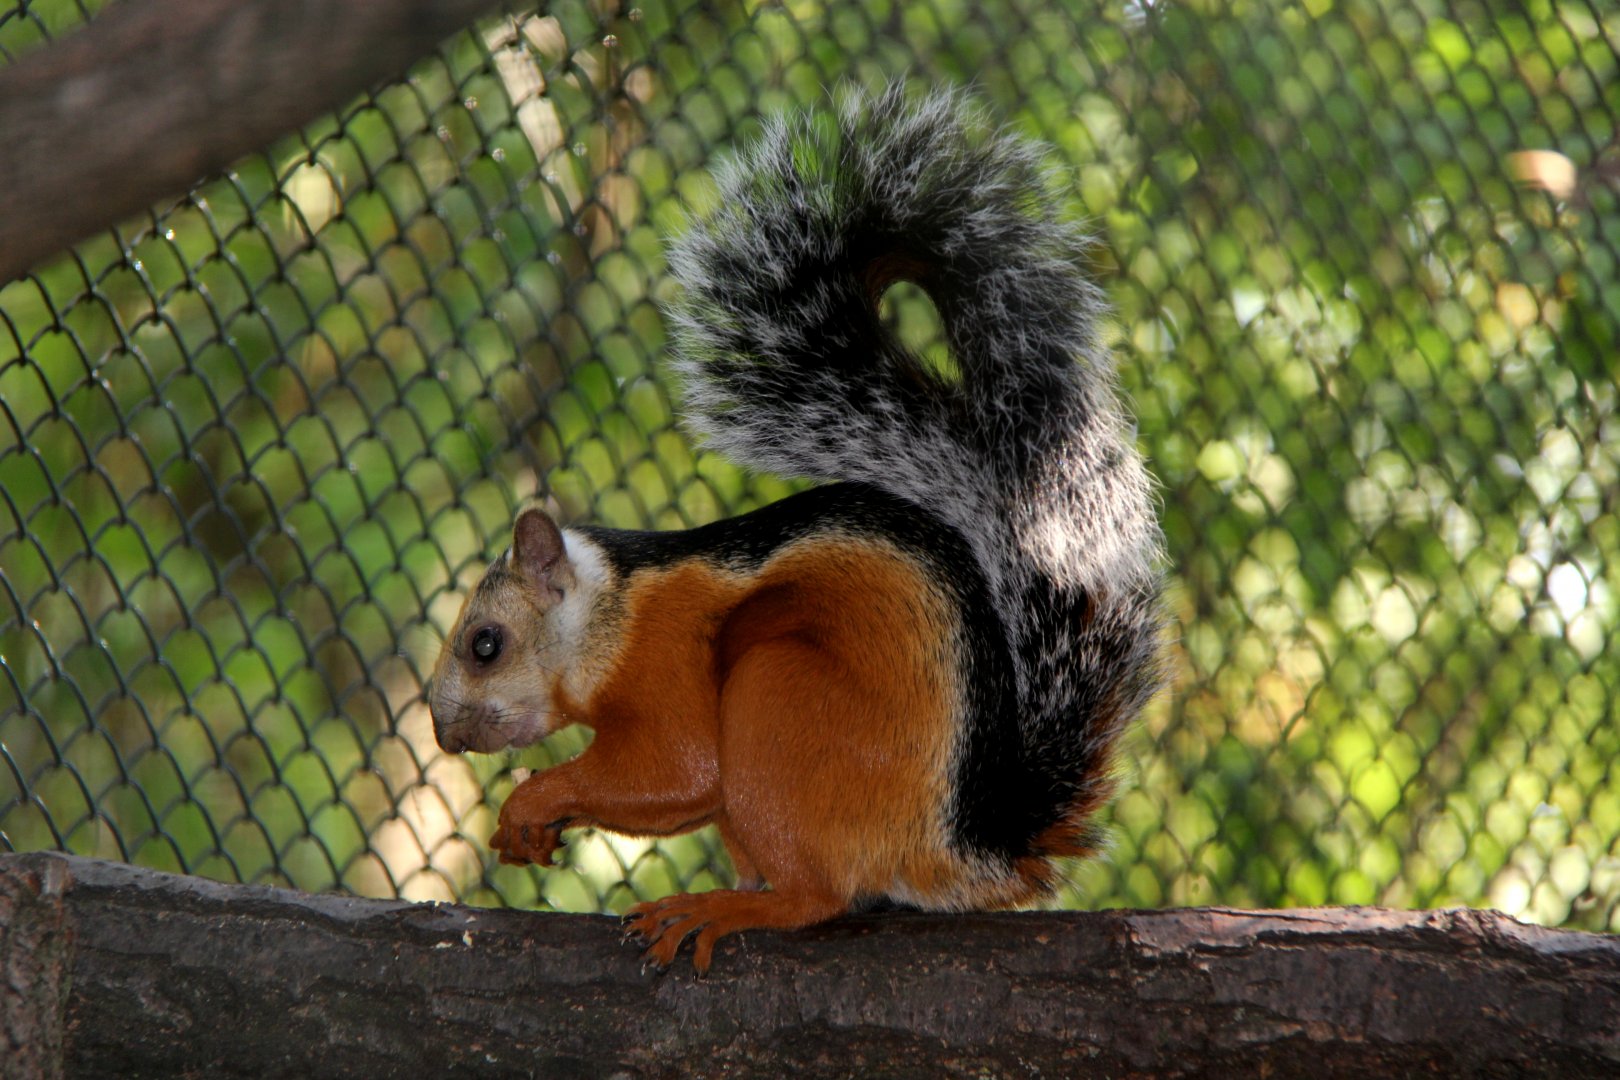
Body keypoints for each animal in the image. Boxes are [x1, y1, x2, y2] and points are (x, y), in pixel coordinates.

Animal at [428, 85, 1167, 973]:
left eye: (486, 644)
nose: (442, 734)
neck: (611, 613)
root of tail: (959, 851)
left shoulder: (668, 669)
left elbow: (674, 769)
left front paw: (534, 799)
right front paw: (530, 830)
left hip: (777, 695)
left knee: (817, 895)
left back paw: (729, 907)